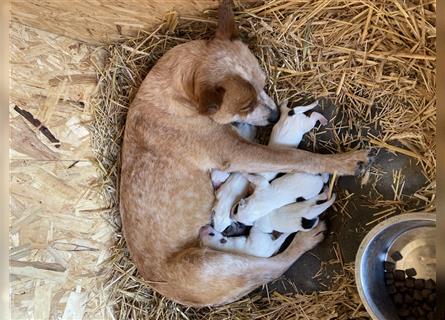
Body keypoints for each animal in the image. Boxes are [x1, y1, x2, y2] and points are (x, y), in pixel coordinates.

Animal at [119, 0, 370, 306]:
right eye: (245, 105)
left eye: (263, 82)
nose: (274, 116)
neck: (180, 94)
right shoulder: (234, 152)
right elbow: (296, 158)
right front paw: (345, 161)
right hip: (215, 265)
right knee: (270, 267)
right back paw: (305, 240)